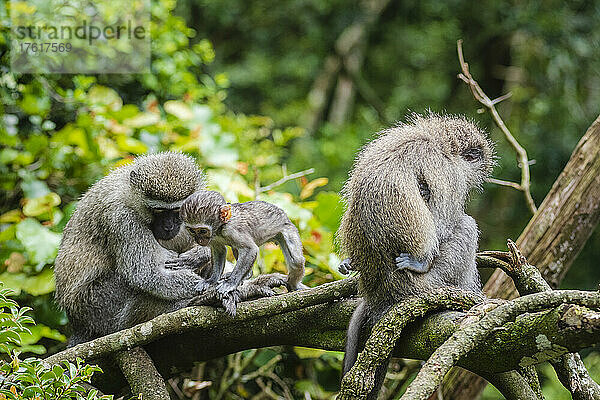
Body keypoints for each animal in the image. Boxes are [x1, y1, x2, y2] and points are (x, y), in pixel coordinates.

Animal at [54, 152, 212, 346]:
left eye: (176, 210)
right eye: (158, 210)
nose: (168, 226)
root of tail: (78, 323)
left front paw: (200, 254)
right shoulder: (121, 216)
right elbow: (146, 274)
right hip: (98, 305)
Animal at [180, 191, 308, 316]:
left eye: (202, 231)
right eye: (192, 231)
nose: (199, 240)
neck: (222, 227)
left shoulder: (232, 231)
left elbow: (250, 249)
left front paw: (230, 284)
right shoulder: (214, 238)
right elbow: (219, 250)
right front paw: (211, 281)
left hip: (287, 229)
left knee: (296, 261)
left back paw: (293, 286)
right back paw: (247, 274)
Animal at [338, 113, 492, 400]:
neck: (438, 142)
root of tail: (383, 295)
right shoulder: (448, 173)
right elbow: (443, 224)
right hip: (429, 282)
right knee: (465, 226)